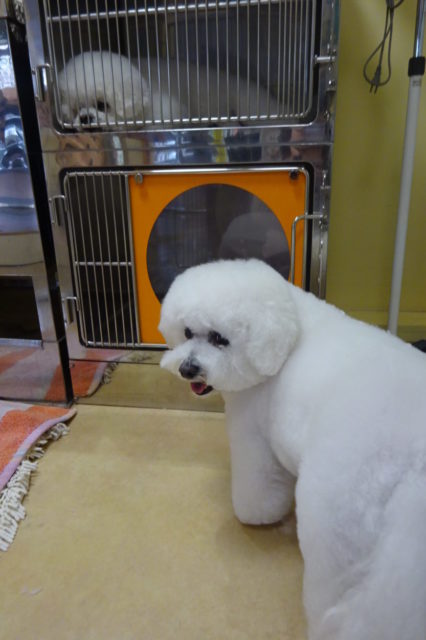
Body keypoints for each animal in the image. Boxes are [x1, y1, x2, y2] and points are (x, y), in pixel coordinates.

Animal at [159, 258, 426, 640]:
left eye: (219, 338)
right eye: (187, 331)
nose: (187, 368)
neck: (291, 327)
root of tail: (414, 460)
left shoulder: (253, 435)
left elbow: (259, 487)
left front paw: (255, 516)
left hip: (334, 524)